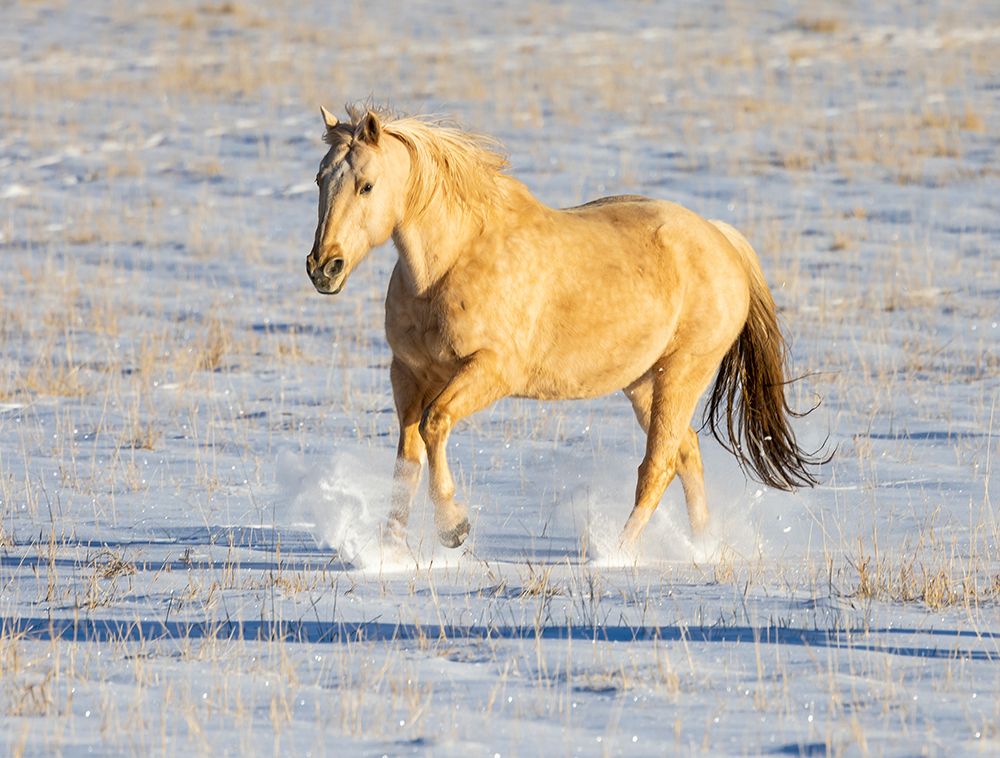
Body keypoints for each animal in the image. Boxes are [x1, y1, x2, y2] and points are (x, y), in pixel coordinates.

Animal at [304, 104, 820, 552]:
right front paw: (387, 552)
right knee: (685, 453)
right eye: (320, 178)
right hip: (642, 383)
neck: (450, 263)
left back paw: (617, 553)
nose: (324, 268)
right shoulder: (409, 374)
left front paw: (453, 527)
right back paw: (700, 548)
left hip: (682, 373)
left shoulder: (491, 372)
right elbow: (407, 460)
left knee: (657, 466)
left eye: (367, 186)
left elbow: (435, 425)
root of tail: (722, 239)